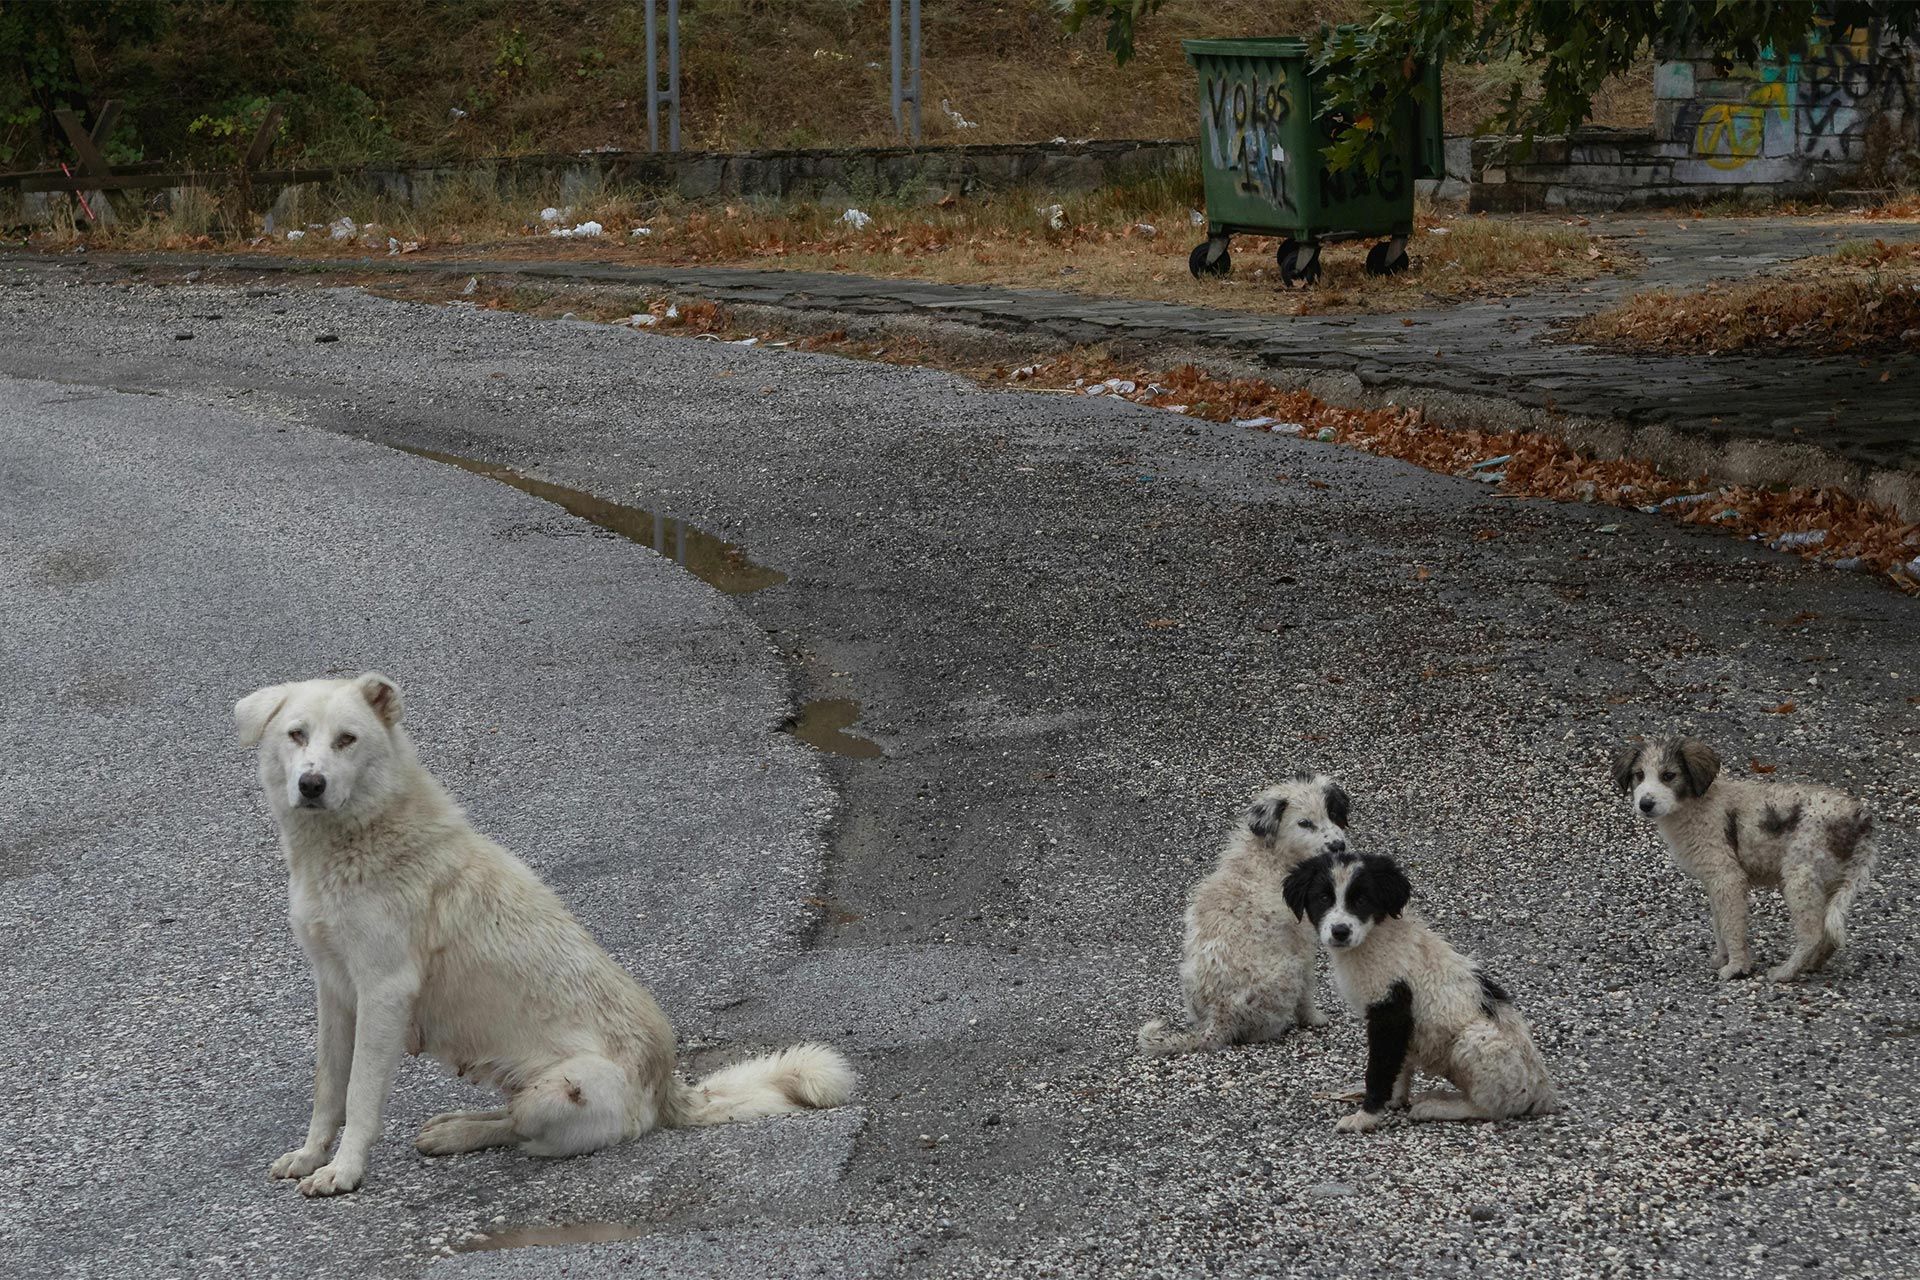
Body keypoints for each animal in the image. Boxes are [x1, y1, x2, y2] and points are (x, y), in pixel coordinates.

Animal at [238, 675, 856, 1197]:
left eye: (347, 739)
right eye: (297, 734)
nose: (310, 784)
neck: (357, 840)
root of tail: (669, 1090)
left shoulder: (384, 995)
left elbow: (360, 1098)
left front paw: (344, 1171)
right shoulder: (335, 990)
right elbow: (328, 1089)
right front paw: (311, 1155)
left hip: (558, 1090)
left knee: (521, 1131)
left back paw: (458, 1134)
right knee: (506, 1118)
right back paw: (450, 1126)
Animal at [1136, 775, 1351, 1059]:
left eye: (1332, 814)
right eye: (1304, 823)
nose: (1339, 846)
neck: (1271, 855)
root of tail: (1220, 1016)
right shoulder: (1302, 944)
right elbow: (1308, 992)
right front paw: (1314, 1018)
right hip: (1287, 973)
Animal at [1274, 852, 1559, 1128]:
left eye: (1362, 899)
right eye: (1323, 898)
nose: (1340, 931)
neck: (1375, 938)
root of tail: (1543, 1095)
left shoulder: (1389, 1012)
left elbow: (1378, 1071)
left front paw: (1366, 1116)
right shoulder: (1399, 1024)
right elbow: (1399, 1066)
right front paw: (1393, 1100)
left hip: (1475, 1040)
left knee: (1490, 1107)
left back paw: (1439, 1106)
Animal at [1605, 736, 1873, 990]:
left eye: (1669, 776)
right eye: (1639, 775)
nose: (1645, 804)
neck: (1698, 803)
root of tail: (1860, 819)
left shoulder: (1727, 877)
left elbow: (1731, 925)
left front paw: (1736, 967)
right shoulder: (1715, 883)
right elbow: (1719, 922)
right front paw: (1724, 958)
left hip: (1801, 879)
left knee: (1812, 934)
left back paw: (1786, 972)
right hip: (1829, 880)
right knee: (1829, 931)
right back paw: (1812, 964)